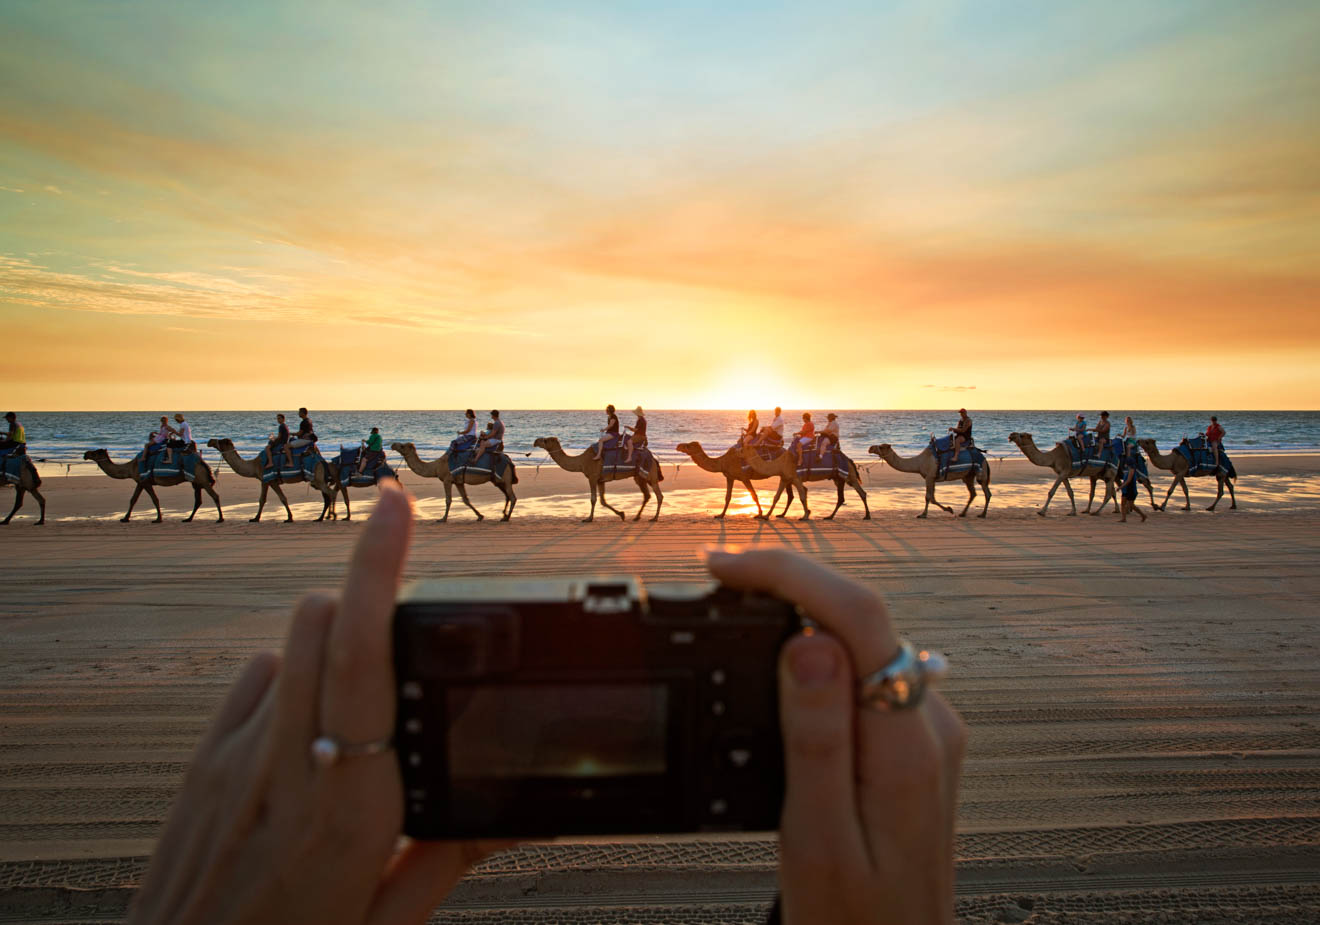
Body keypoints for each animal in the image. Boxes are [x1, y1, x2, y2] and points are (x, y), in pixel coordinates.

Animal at [83, 446, 221, 519]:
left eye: (95, 452)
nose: (85, 454)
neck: (131, 467)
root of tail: (202, 462)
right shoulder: (140, 482)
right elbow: (133, 499)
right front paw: (125, 518)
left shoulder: (145, 481)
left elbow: (154, 499)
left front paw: (158, 519)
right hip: (196, 482)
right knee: (198, 500)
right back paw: (188, 519)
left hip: (201, 479)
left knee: (214, 496)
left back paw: (219, 519)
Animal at [207, 438, 337, 522]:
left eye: (221, 441)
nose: (210, 441)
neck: (255, 465)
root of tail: (322, 461)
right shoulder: (267, 481)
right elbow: (270, 499)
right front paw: (289, 517)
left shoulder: (268, 479)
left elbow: (270, 499)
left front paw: (256, 518)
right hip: (318, 480)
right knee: (326, 497)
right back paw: (321, 518)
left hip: (318, 479)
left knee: (330, 493)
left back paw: (332, 516)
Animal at [388, 440, 517, 519]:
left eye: (402, 446)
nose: (393, 444)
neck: (437, 466)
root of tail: (509, 460)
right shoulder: (459, 482)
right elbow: (465, 500)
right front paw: (480, 516)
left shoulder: (447, 480)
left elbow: (448, 500)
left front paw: (443, 518)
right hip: (497, 480)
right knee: (507, 495)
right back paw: (504, 515)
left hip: (505, 477)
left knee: (512, 496)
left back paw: (507, 517)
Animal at [533, 435, 665, 519]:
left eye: (545, 440)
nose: (535, 441)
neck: (582, 462)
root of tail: (654, 459)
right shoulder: (600, 480)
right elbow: (603, 500)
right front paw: (621, 514)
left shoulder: (592, 477)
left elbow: (593, 499)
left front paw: (589, 518)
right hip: (640, 477)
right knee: (647, 495)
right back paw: (637, 517)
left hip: (651, 476)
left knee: (659, 495)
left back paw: (654, 518)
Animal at [739, 440, 871, 519]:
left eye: (743, 449)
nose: (737, 451)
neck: (780, 463)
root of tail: (849, 460)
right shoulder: (785, 478)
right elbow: (776, 497)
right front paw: (766, 516)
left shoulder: (796, 478)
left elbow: (802, 495)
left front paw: (805, 516)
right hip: (838, 478)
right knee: (842, 498)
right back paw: (829, 516)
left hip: (849, 476)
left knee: (861, 492)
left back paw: (867, 516)